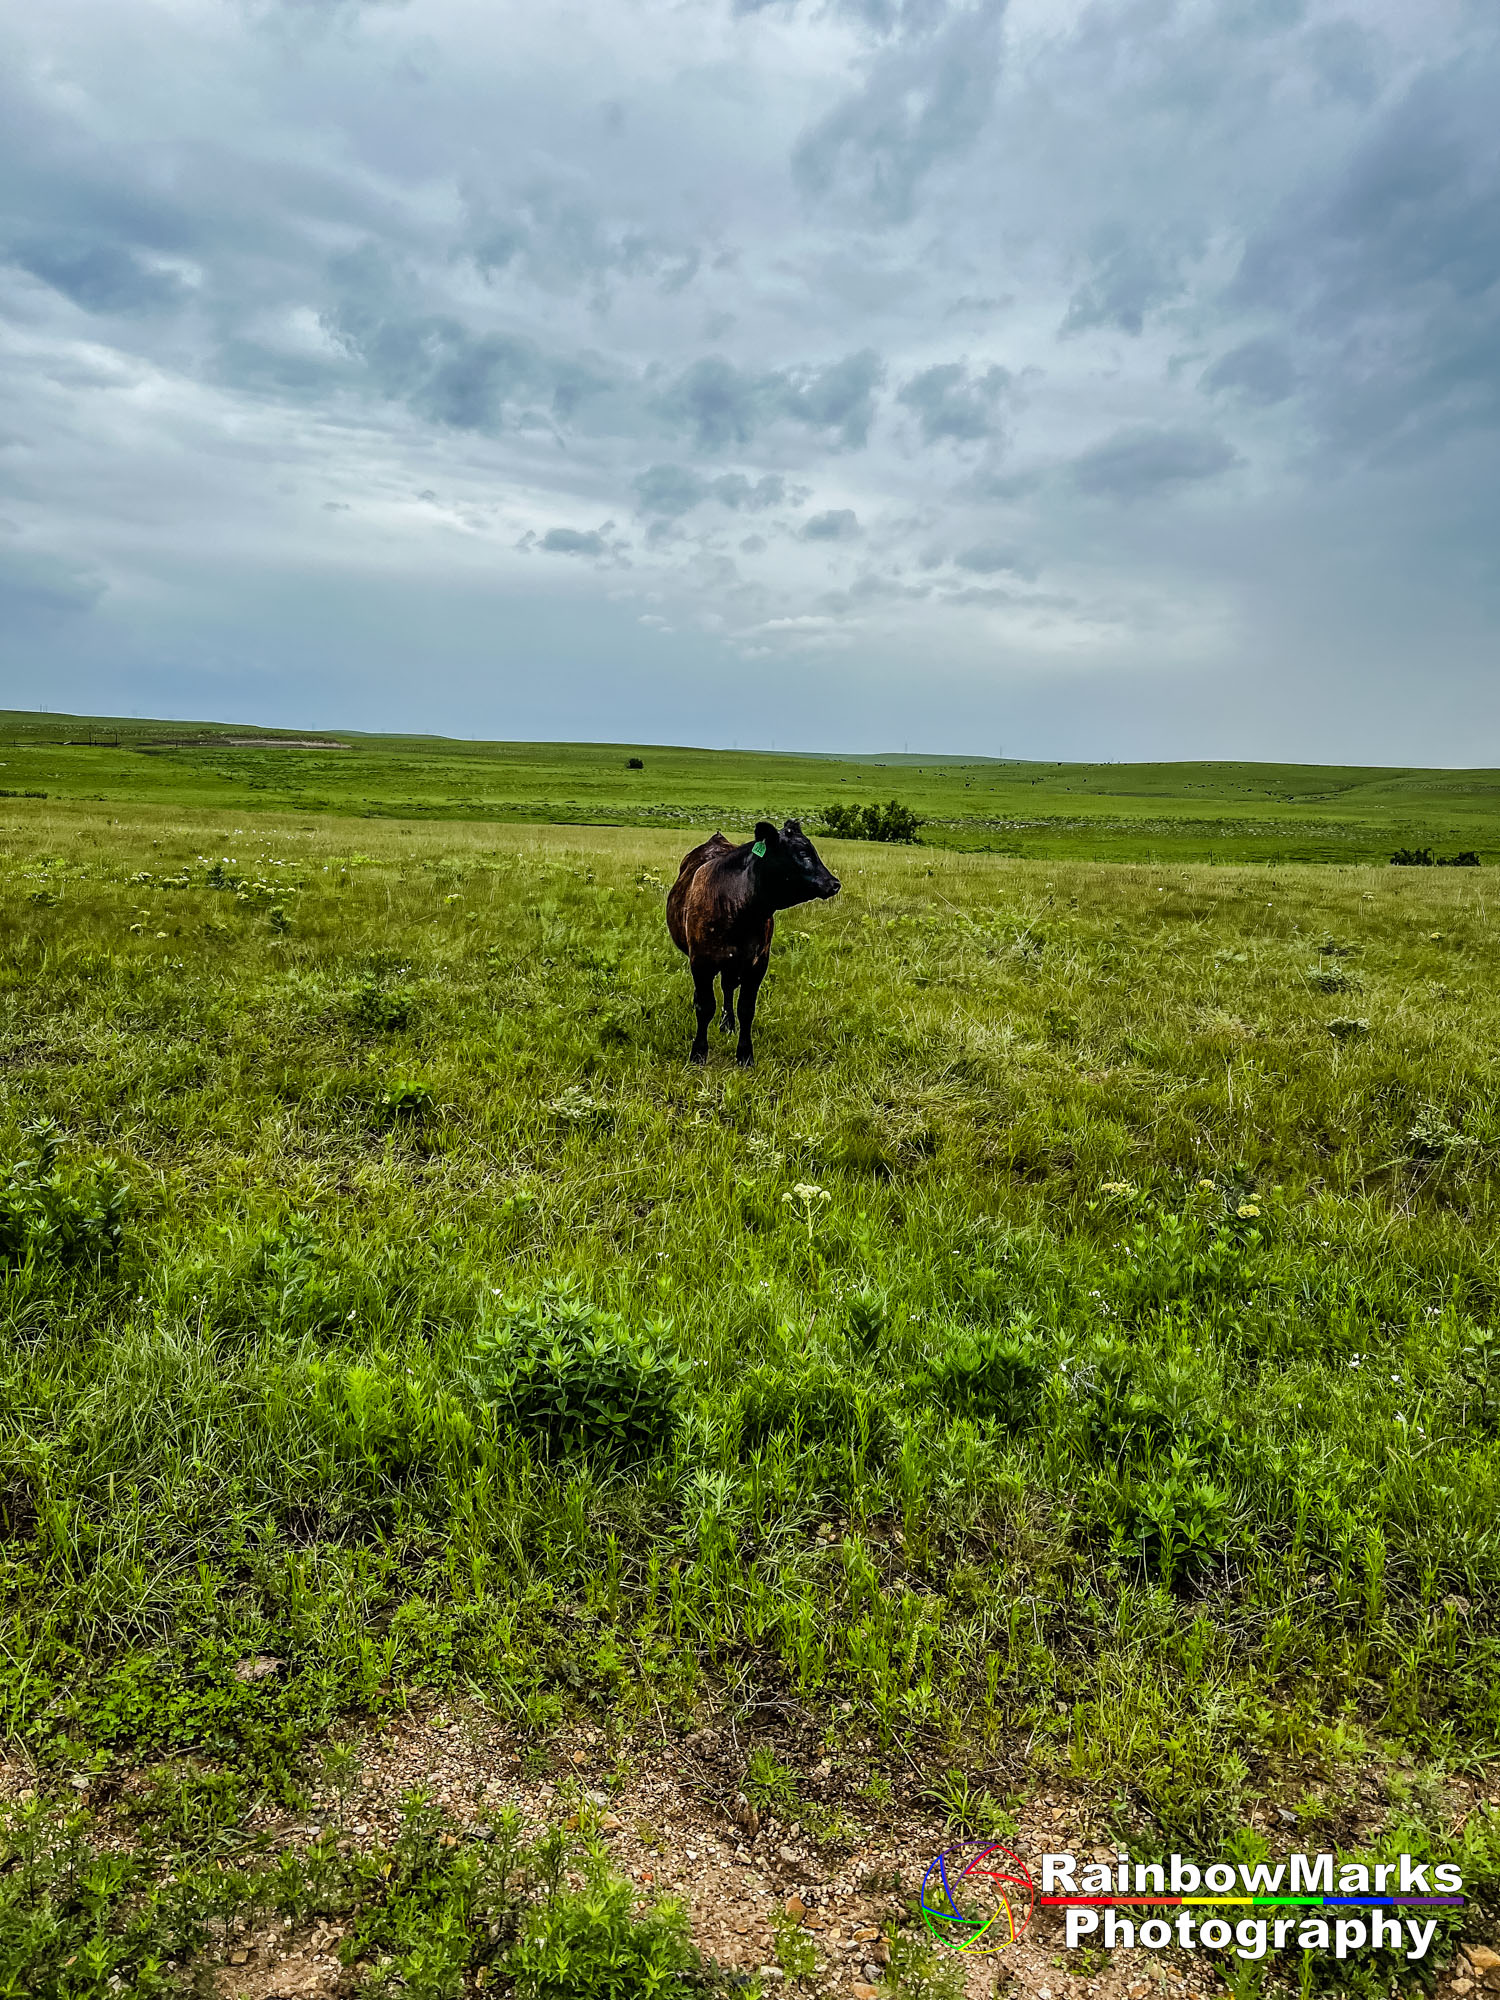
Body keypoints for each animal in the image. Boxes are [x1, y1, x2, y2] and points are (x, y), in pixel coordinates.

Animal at [672, 816, 848, 1064]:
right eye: (803, 853)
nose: (834, 884)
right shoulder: (700, 962)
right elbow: (705, 1007)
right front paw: (698, 1052)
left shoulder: (757, 963)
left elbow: (746, 1009)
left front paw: (745, 1054)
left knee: (728, 988)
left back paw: (727, 1025)